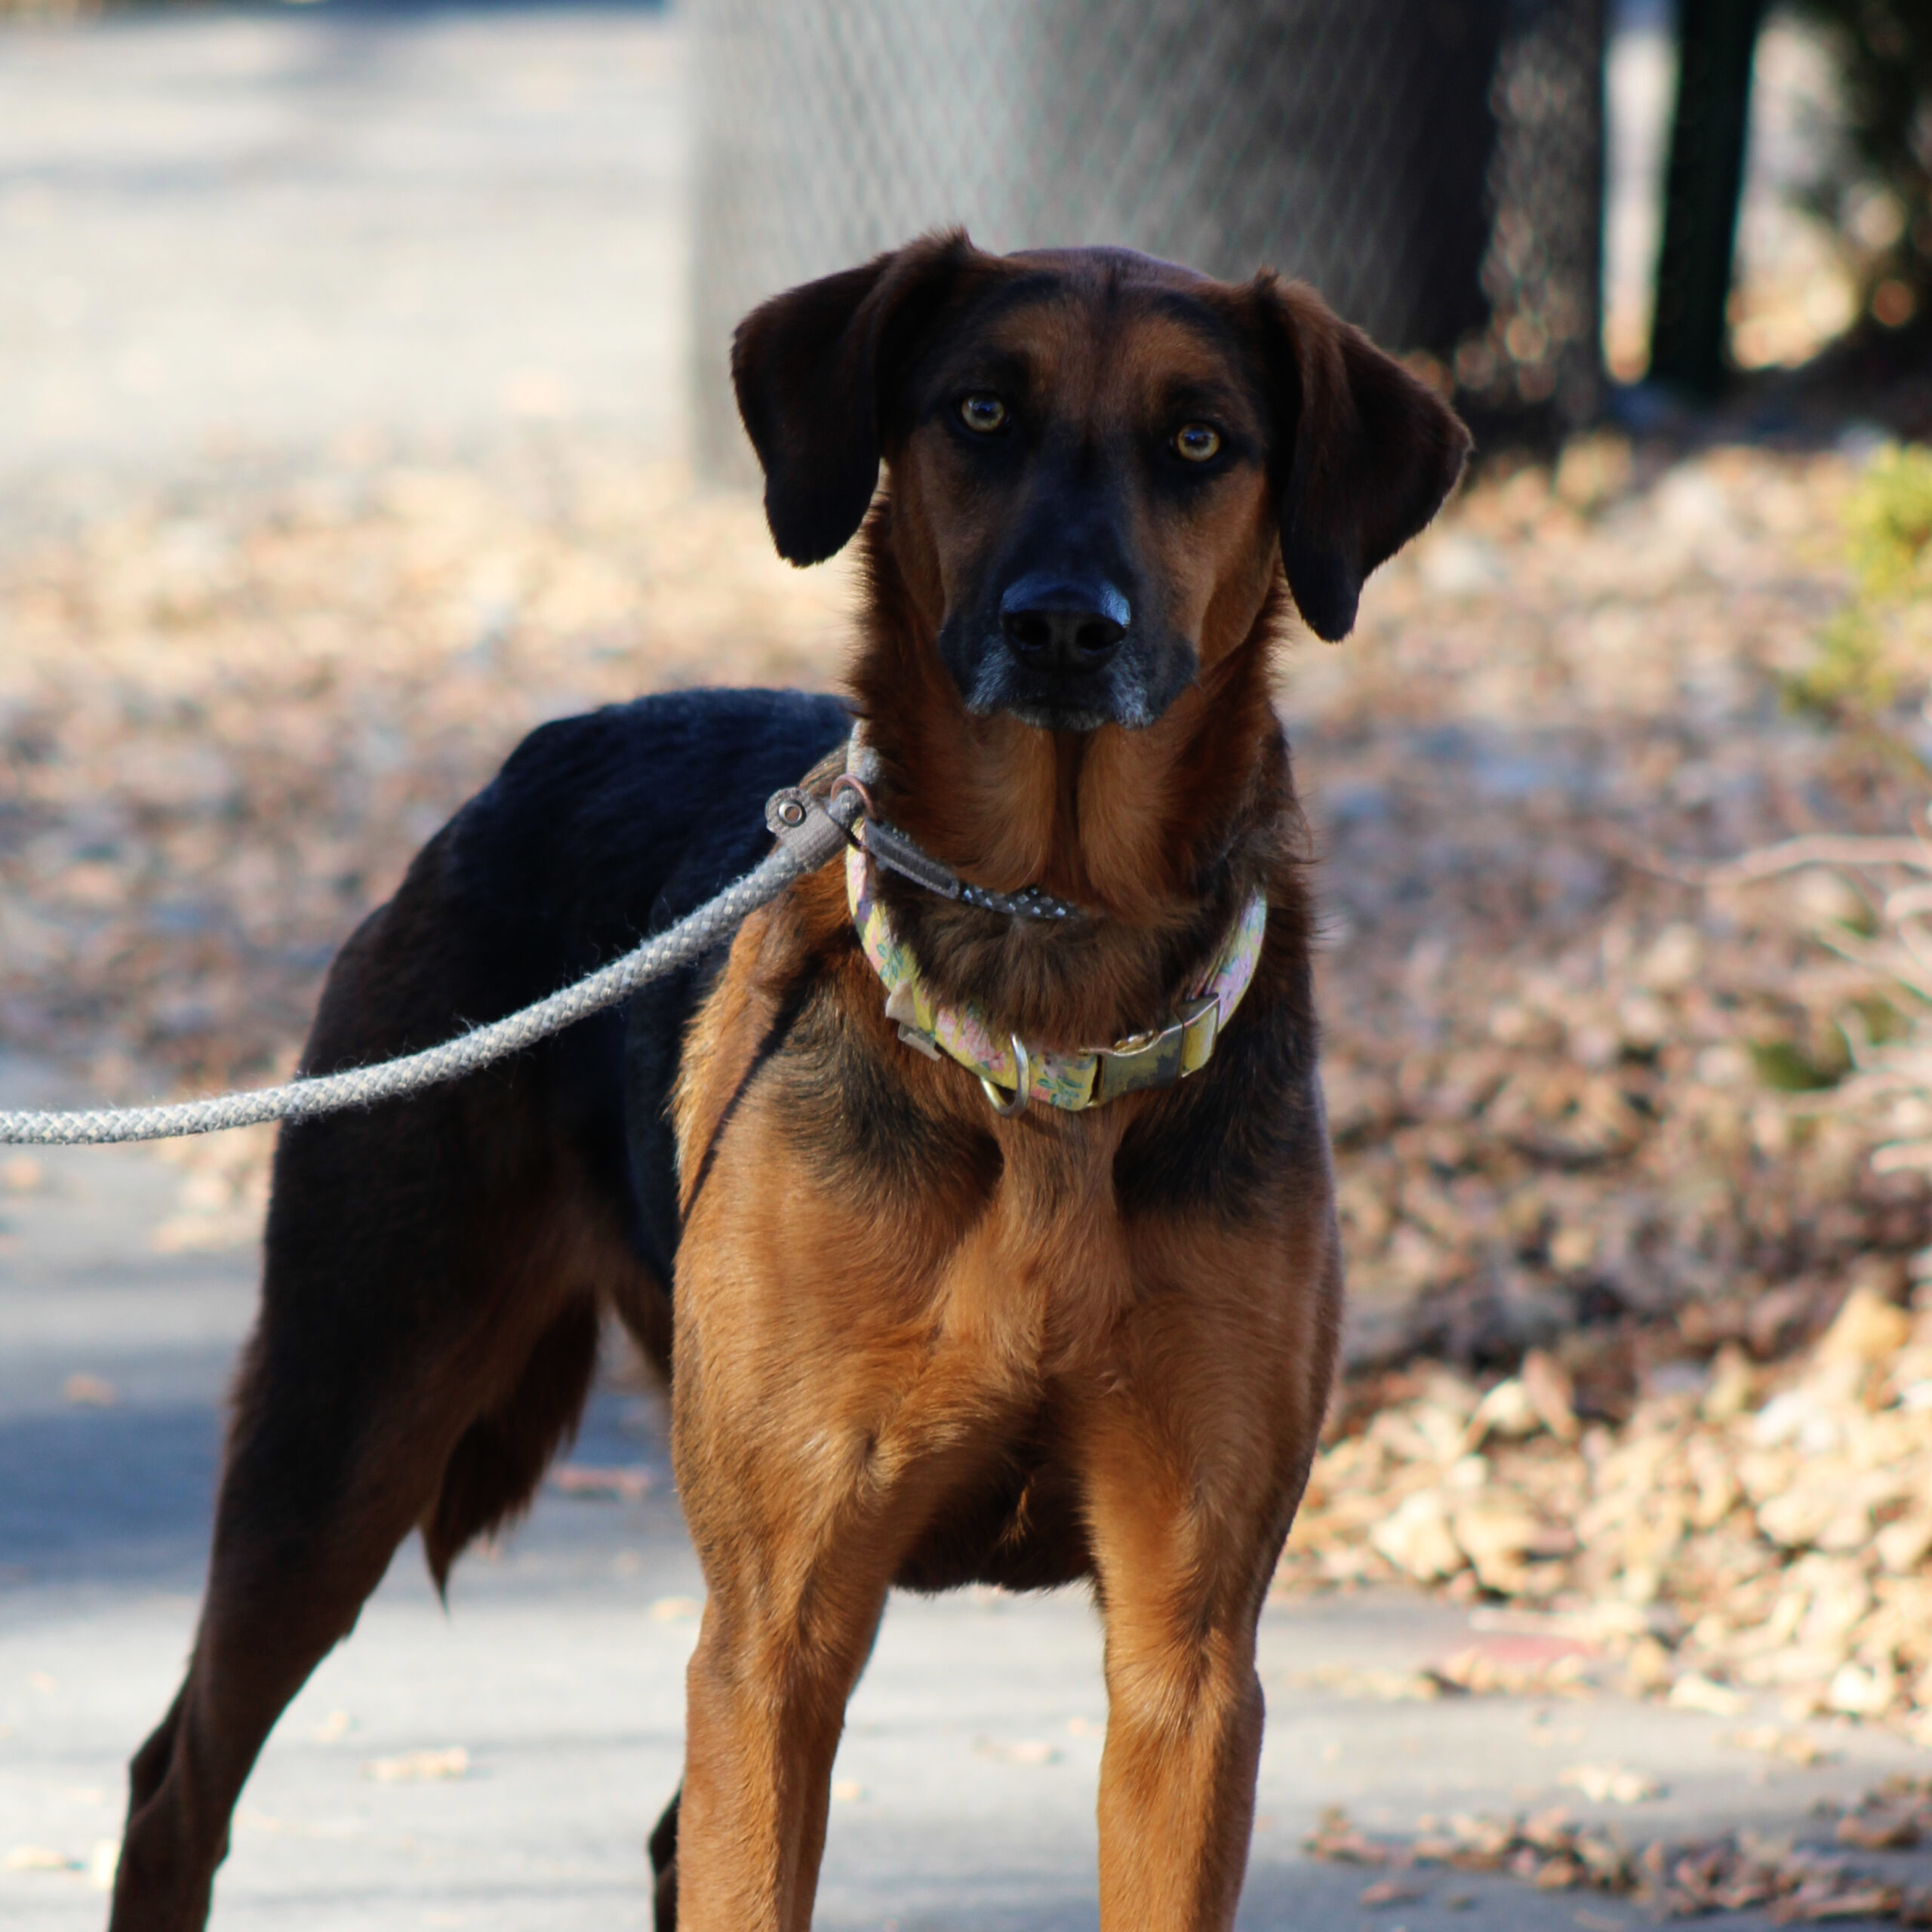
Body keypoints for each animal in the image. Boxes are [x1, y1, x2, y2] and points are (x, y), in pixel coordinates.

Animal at [106, 229, 1460, 1932]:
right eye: (979, 411)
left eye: (1201, 441)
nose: (1062, 627)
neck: (1047, 963)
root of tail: (522, 763)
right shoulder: (777, 1626)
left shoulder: (1187, 1658)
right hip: (345, 1419)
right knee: (179, 1778)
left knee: (658, 1837)